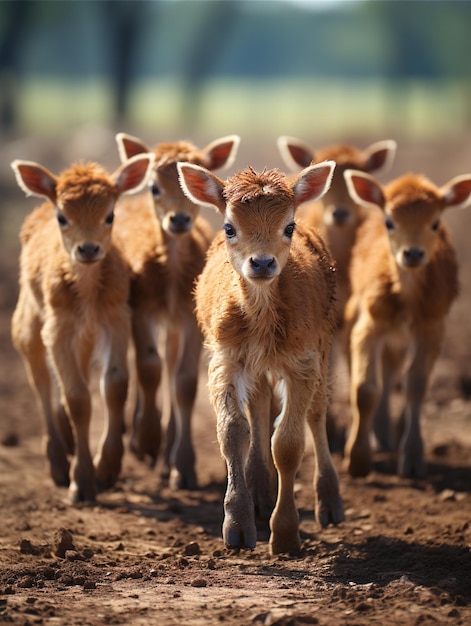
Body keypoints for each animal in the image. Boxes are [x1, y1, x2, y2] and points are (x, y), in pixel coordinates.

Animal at [11, 154, 153, 500]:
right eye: (62, 217)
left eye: (110, 215)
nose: (88, 249)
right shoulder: (58, 328)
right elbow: (77, 397)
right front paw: (82, 481)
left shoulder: (116, 319)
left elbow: (115, 385)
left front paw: (107, 470)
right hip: (28, 323)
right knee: (40, 382)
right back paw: (58, 462)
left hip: (85, 337)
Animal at [111, 133, 240, 488]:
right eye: (154, 187)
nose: (179, 220)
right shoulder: (140, 306)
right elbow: (147, 367)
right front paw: (147, 440)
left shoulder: (191, 316)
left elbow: (183, 381)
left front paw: (183, 466)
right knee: (143, 361)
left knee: (170, 366)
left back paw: (167, 458)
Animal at [177, 160, 342, 552]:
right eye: (229, 227)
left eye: (288, 226)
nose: (262, 262)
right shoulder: (225, 359)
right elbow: (233, 431)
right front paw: (237, 526)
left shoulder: (303, 363)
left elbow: (288, 442)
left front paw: (284, 534)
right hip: (258, 367)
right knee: (260, 403)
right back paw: (259, 493)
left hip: (324, 345)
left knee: (316, 413)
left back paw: (329, 503)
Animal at [342, 168, 471, 476]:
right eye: (389, 222)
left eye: (435, 223)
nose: (412, 253)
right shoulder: (369, 323)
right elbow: (365, 388)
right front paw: (358, 459)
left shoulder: (432, 329)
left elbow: (417, 385)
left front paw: (412, 458)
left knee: (394, 368)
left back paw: (391, 433)